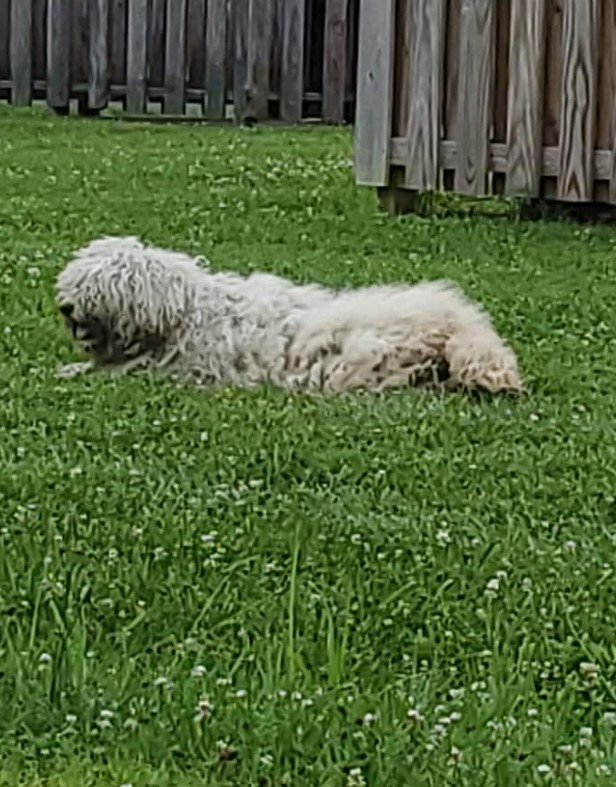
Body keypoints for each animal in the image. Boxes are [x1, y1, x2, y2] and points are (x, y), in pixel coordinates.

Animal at [55, 234, 524, 394]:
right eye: (75, 282)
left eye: (97, 285)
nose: (65, 307)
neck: (185, 314)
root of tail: (458, 321)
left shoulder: (188, 369)